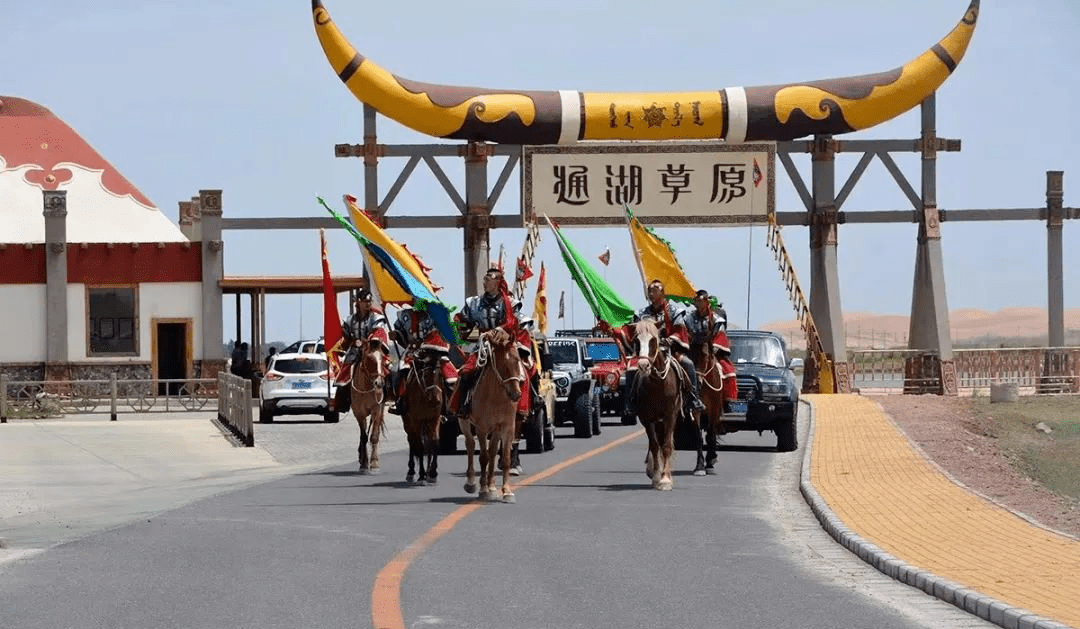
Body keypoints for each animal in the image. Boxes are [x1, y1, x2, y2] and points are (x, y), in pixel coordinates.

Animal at [349, 337, 388, 475]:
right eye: (369, 358)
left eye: (382, 359)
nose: (379, 383)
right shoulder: (359, 414)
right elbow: (364, 437)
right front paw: (364, 464)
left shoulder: (376, 411)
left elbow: (374, 436)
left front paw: (374, 463)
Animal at [399, 348, 444, 486]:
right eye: (426, 375)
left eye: (440, 375)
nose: (436, 400)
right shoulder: (415, 421)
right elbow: (419, 445)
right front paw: (422, 474)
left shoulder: (434, 419)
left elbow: (434, 442)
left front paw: (432, 473)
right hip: (408, 422)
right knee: (412, 441)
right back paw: (411, 472)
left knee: (426, 443)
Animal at [455, 328, 522, 505]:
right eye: (503, 365)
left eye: (518, 361)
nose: (516, 394)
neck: (496, 396)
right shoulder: (482, 428)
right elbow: (483, 457)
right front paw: (483, 489)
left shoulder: (507, 427)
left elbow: (504, 458)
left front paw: (506, 491)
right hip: (464, 422)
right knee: (471, 446)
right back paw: (472, 483)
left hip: (496, 429)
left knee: (492, 452)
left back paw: (492, 486)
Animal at [626, 319, 682, 492]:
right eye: (636, 341)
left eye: (653, 340)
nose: (643, 365)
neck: (658, 384)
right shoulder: (647, 418)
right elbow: (655, 445)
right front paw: (657, 477)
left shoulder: (670, 415)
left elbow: (666, 446)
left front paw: (665, 479)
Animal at [691, 343, 725, 475]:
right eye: (689, 353)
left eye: (705, 355)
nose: (696, 383)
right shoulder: (696, 409)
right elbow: (698, 437)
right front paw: (699, 466)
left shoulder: (714, 410)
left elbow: (711, 434)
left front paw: (710, 462)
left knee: (713, 432)